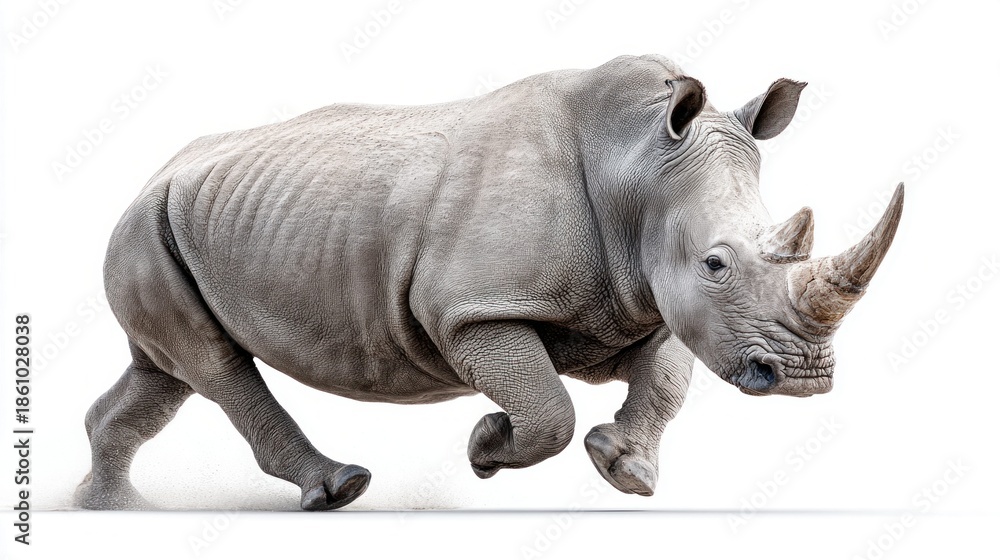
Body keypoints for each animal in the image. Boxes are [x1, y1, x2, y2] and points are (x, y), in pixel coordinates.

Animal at [76, 54, 903, 511]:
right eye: (717, 263)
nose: (802, 378)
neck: (638, 169)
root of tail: (154, 174)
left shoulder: (644, 300)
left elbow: (667, 379)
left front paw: (626, 470)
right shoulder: (472, 312)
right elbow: (549, 409)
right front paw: (485, 446)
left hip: (174, 224)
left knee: (167, 373)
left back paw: (111, 510)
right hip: (143, 227)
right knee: (216, 365)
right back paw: (339, 489)